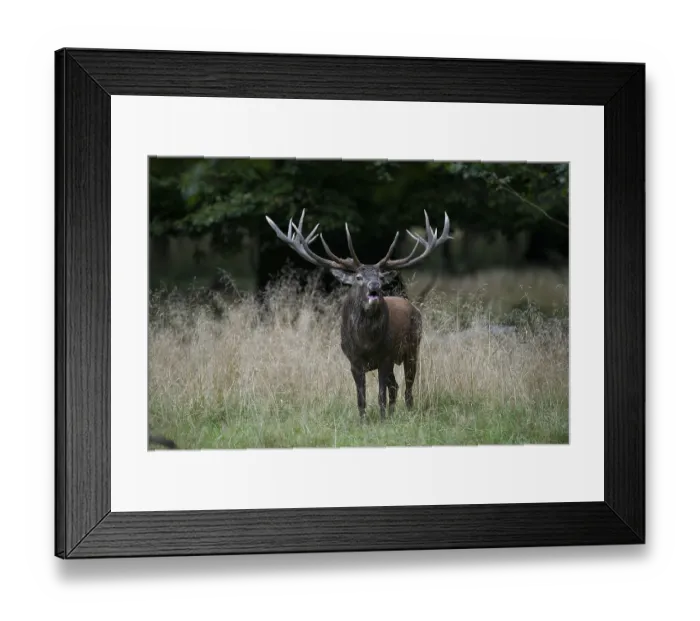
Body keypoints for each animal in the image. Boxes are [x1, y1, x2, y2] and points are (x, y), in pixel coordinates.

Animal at [265, 209, 452, 421]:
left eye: (379, 277)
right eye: (358, 277)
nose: (375, 286)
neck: (367, 343)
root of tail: (412, 307)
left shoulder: (385, 357)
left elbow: (380, 394)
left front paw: (382, 419)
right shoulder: (353, 360)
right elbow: (361, 396)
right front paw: (364, 421)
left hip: (413, 348)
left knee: (407, 387)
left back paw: (408, 412)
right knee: (395, 386)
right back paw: (393, 413)